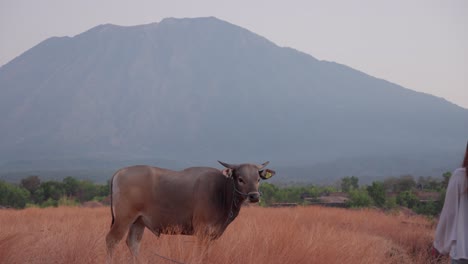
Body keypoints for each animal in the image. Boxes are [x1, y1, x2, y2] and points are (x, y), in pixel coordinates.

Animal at [105, 160, 274, 260]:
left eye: (258, 179)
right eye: (240, 179)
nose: (254, 196)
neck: (221, 190)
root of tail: (119, 172)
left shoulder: (211, 235)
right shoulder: (201, 231)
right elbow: (200, 255)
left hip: (138, 222)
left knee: (133, 243)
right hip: (123, 220)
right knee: (112, 241)